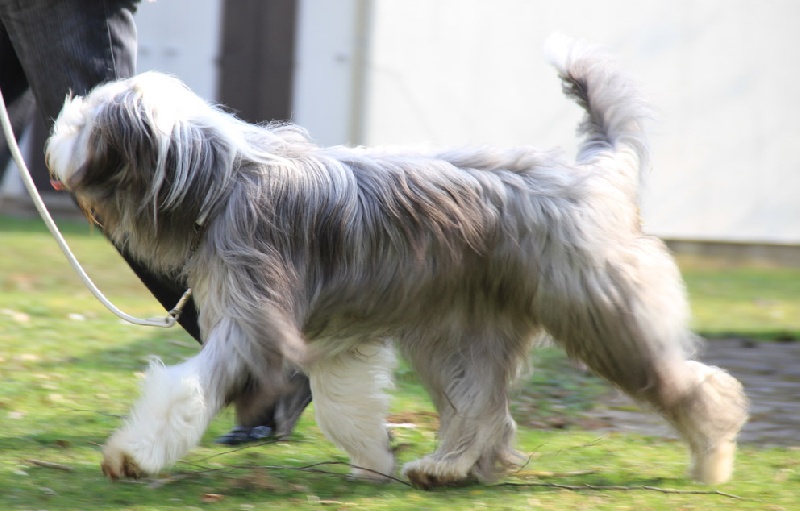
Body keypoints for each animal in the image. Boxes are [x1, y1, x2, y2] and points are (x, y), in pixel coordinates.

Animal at [47, 37, 752, 488]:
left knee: (692, 385)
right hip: (460, 333)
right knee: (482, 406)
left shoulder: (253, 319)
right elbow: (342, 402)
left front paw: (134, 455)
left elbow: (188, 387)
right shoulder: (325, 336)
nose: (56, 126)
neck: (221, 178)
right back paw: (447, 467)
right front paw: (374, 455)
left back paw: (712, 457)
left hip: (601, 313)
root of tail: (594, 170)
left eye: (88, 117)